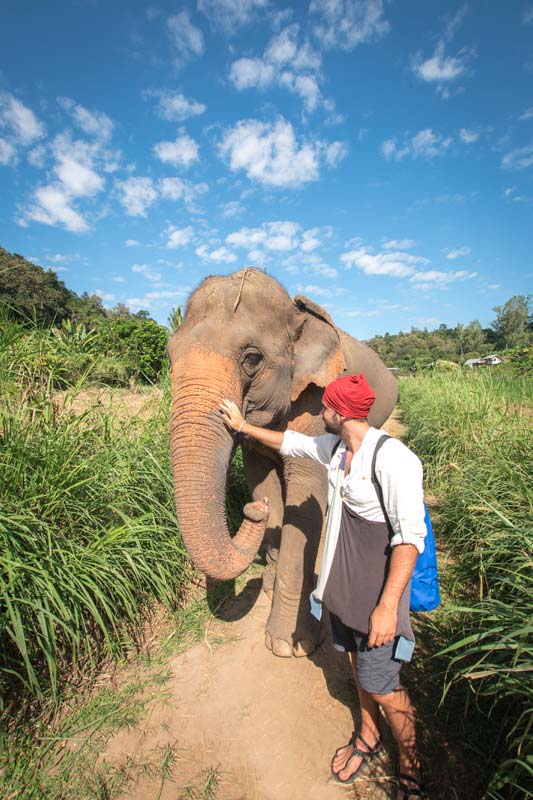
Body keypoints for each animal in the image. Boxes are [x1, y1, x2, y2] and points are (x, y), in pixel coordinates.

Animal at [168, 268, 396, 656]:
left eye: (252, 358)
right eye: (169, 354)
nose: (251, 510)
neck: (296, 314)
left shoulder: (316, 400)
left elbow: (306, 496)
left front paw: (289, 645)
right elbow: (264, 481)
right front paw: (270, 580)